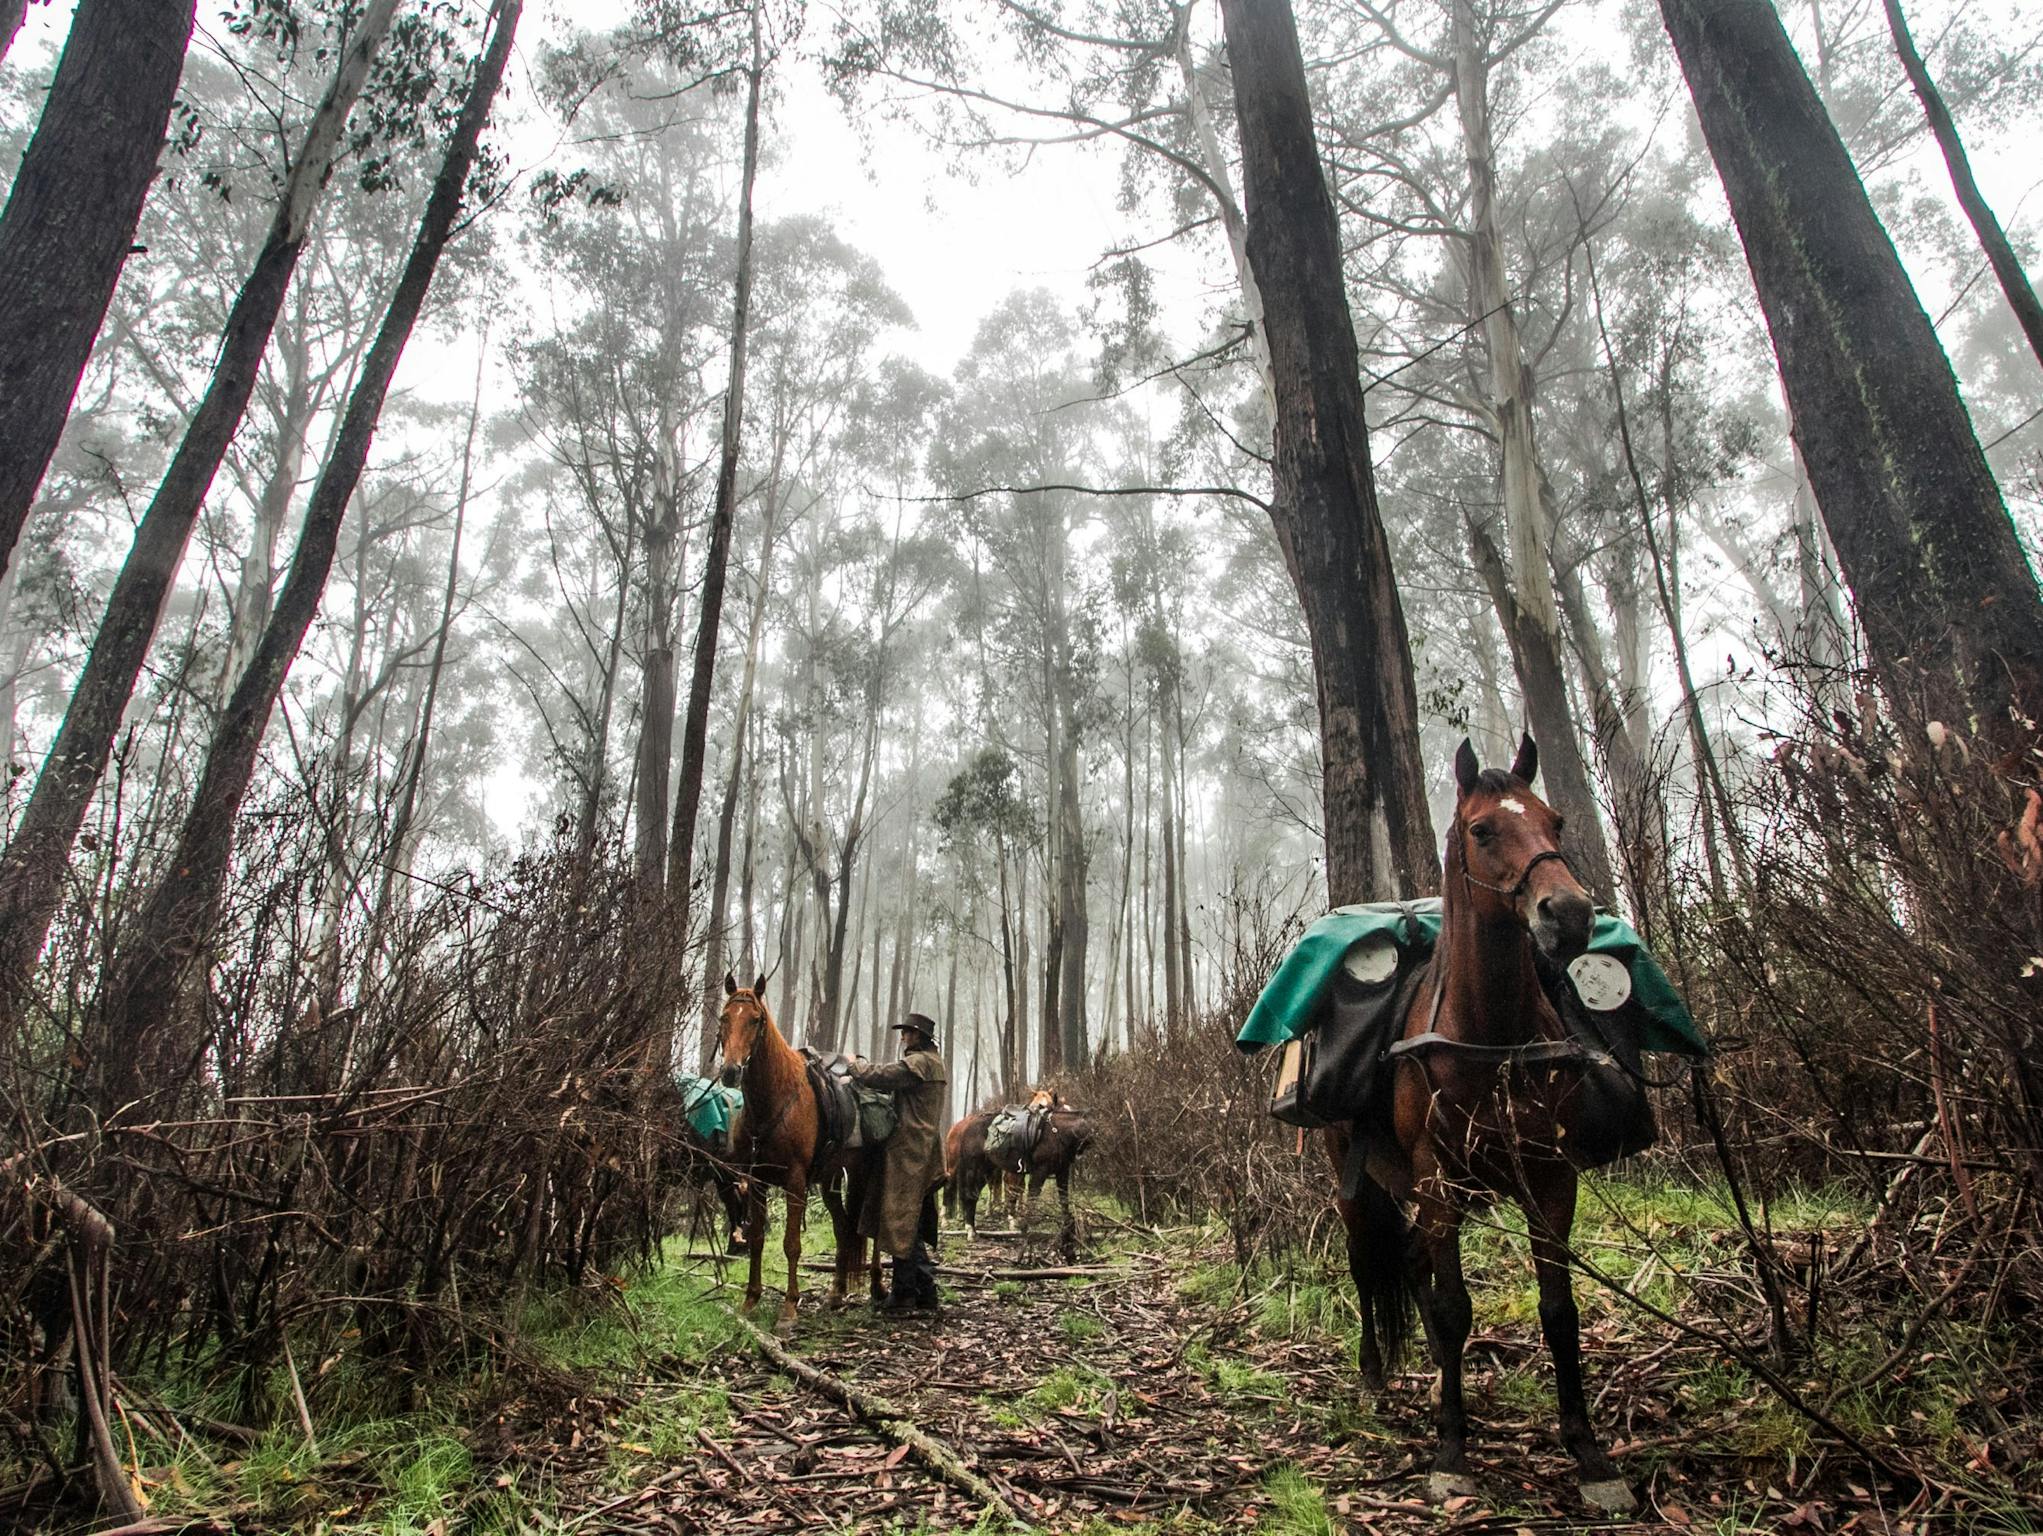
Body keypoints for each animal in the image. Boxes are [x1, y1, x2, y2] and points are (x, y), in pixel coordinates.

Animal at [715, 976, 874, 1323]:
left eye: (755, 1020)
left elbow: (791, 1243)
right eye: (724, 1017)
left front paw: (789, 1307)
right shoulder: (757, 1181)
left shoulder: (796, 1182)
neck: (775, 1100)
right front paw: (751, 1299)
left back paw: (880, 1289)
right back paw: (836, 1293)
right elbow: (758, 1238)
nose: (731, 1071)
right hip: (830, 1181)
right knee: (843, 1228)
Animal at [1340, 739, 1642, 1511]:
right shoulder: (1439, 1179)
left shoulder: (1550, 1179)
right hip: (1357, 1182)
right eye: (1482, 830)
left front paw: (1589, 1453)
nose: (1570, 914)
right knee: (1366, 1264)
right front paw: (1452, 1450)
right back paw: (1374, 1376)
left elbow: (1559, 1309)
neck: (1491, 1035)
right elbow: (1454, 1308)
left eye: (1554, 821)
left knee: (1413, 1258)